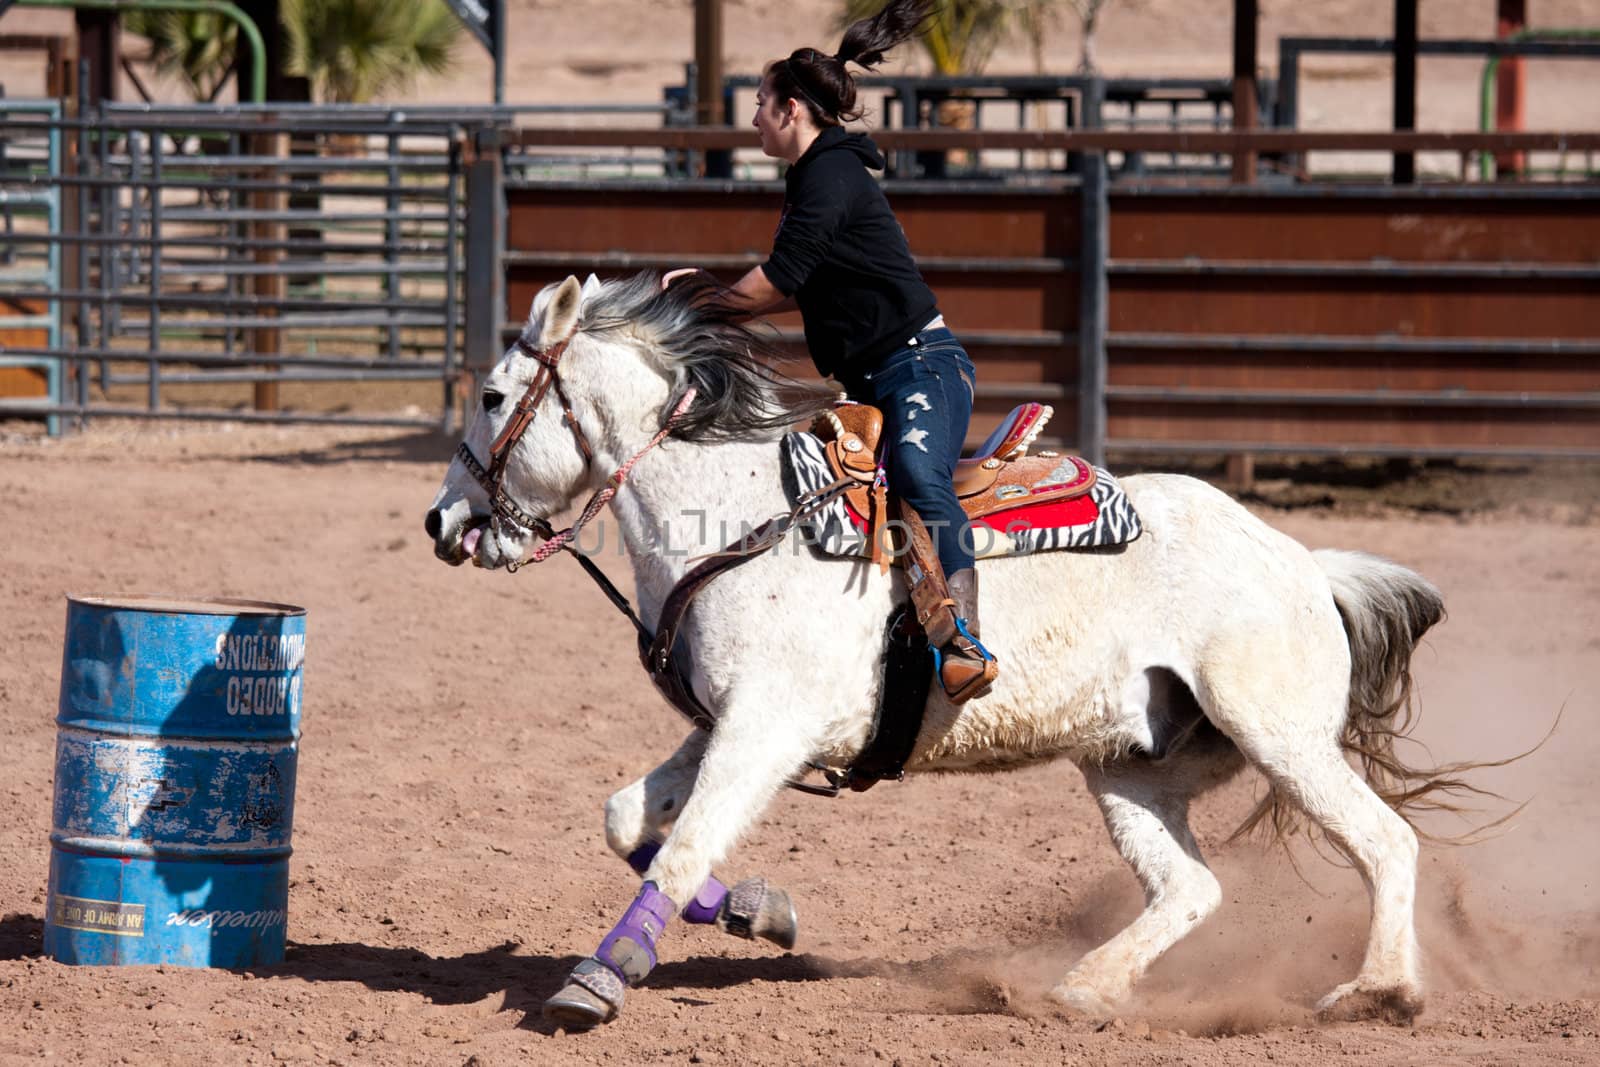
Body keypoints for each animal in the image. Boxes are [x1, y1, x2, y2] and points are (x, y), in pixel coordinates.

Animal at [425, 271, 1465, 1030]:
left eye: (493, 395)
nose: (442, 521)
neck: (735, 513)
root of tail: (1302, 561)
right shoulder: (728, 723)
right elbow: (628, 823)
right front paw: (761, 908)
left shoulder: (766, 727)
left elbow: (679, 849)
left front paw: (598, 978)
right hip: (1131, 765)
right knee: (1193, 887)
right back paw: (1081, 990)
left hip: (1279, 735)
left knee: (1385, 841)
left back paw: (1378, 993)